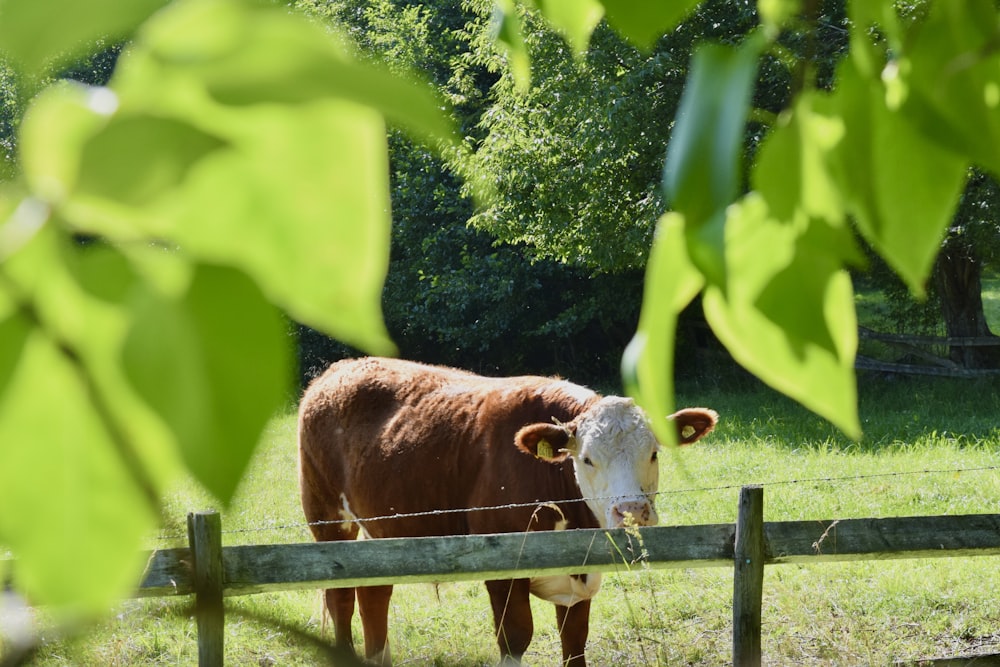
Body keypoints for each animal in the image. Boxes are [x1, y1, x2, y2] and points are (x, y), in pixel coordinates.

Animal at [298, 358, 720, 664]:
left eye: (654, 453)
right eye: (587, 458)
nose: (632, 510)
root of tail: (338, 370)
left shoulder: (579, 583)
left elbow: (574, 644)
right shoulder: (502, 571)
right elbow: (516, 638)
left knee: (373, 592)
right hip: (327, 518)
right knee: (340, 597)